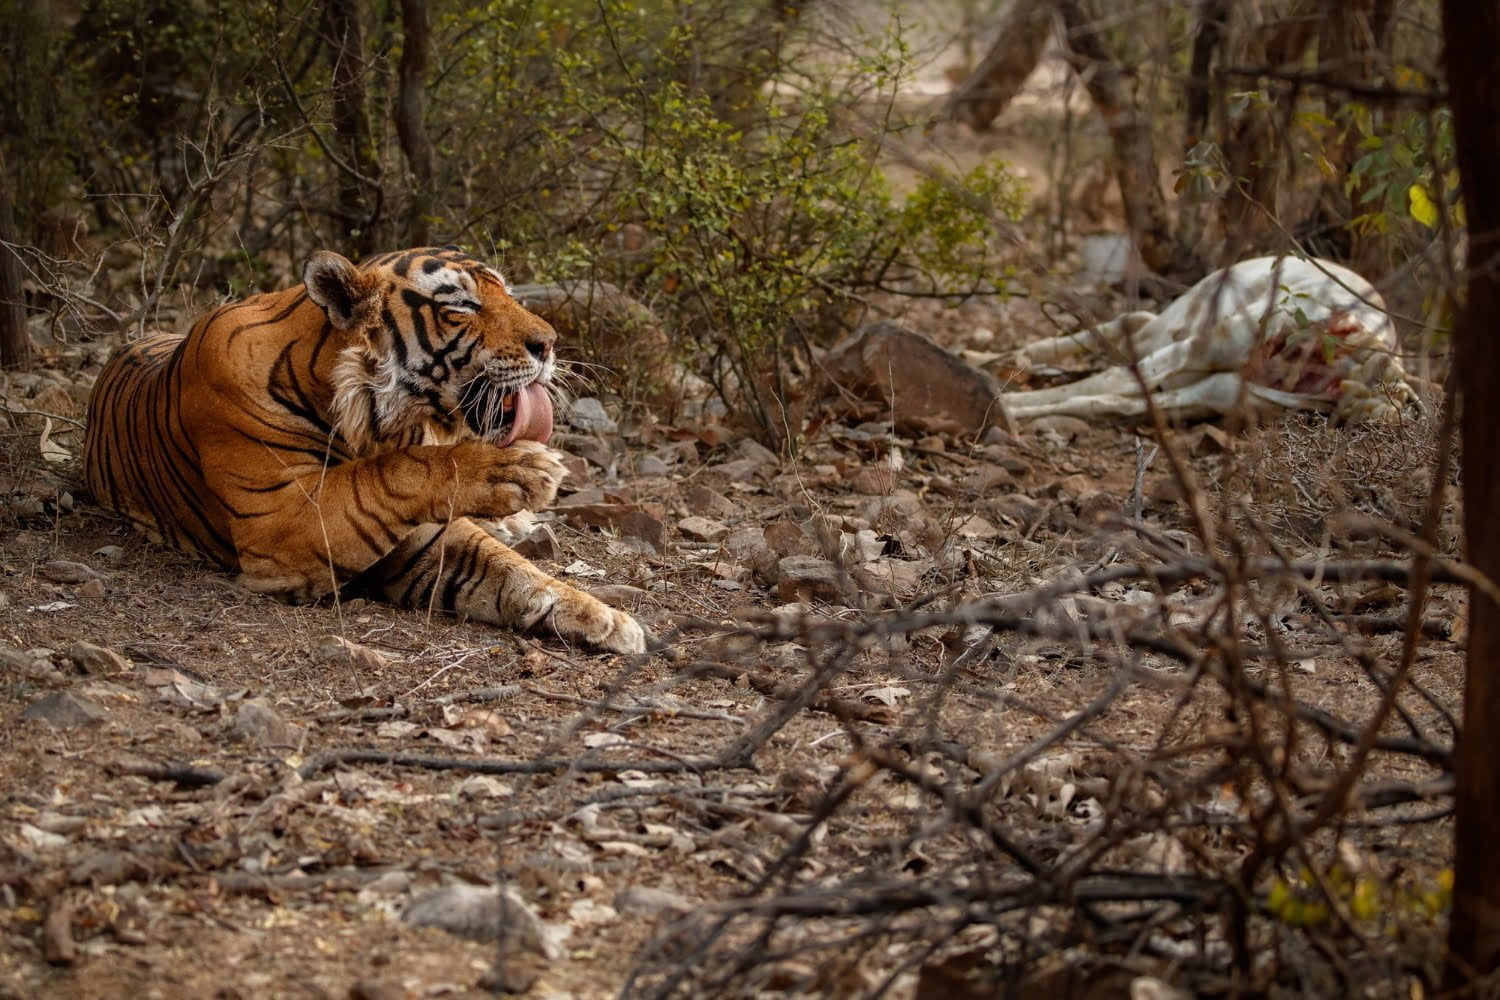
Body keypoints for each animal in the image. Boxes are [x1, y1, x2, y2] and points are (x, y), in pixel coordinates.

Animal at [82, 245, 645, 653]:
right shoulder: (284, 520)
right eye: (461, 305)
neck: (376, 421)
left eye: (506, 292)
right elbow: (391, 473)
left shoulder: (424, 539)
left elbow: (513, 571)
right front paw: (519, 468)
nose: (549, 344)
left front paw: (606, 618)